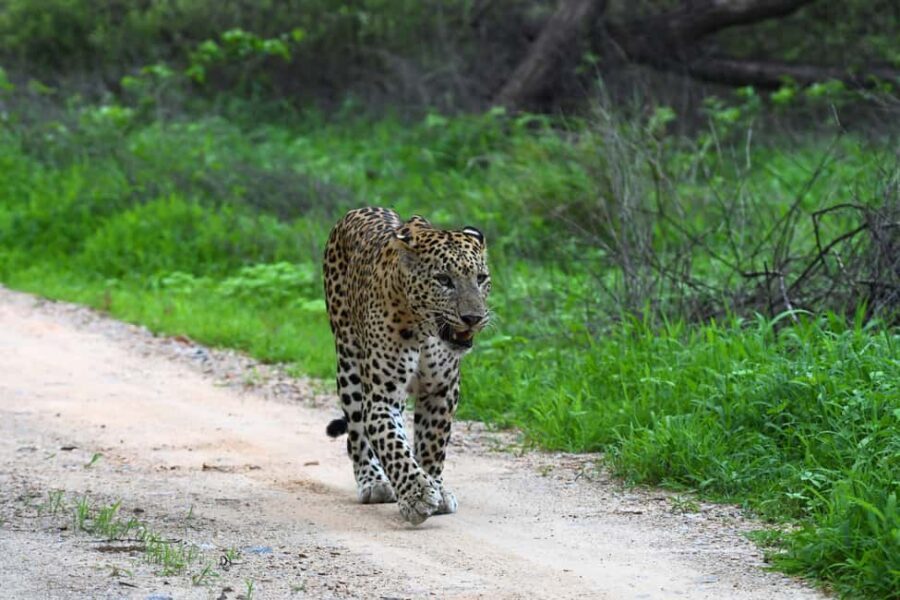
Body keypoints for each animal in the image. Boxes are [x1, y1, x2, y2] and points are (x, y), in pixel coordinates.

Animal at [322, 207, 491, 525]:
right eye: (443, 280)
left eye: (481, 278)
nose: (473, 318)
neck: (426, 331)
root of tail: (360, 209)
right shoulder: (382, 397)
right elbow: (392, 444)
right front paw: (417, 495)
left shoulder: (442, 391)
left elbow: (432, 444)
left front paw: (434, 487)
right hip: (348, 363)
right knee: (357, 433)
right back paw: (373, 481)